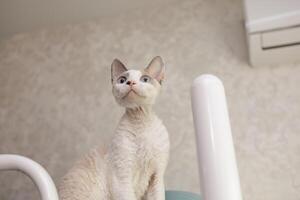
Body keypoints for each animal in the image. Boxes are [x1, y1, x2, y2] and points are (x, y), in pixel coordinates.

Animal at [59, 56, 170, 200]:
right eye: (122, 80)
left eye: (145, 79)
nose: (130, 82)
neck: (141, 119)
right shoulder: (122, 178)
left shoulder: (156, 176)